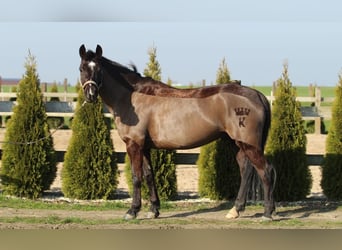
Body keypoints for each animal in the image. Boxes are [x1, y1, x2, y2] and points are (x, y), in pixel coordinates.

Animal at [77, 45, 276, 221]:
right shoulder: (145, 147)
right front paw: (153, 210)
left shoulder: (134, 145)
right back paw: (236, 210)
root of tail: (258, 95)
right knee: (246, 169)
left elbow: (136, 177)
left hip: (249, 144)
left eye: (99, 69)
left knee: (265, 171)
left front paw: (132, 211)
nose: (91, 95)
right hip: (237, 143)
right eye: (81, 69)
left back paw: (267, 213)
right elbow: (149, 176)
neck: (131, 97)